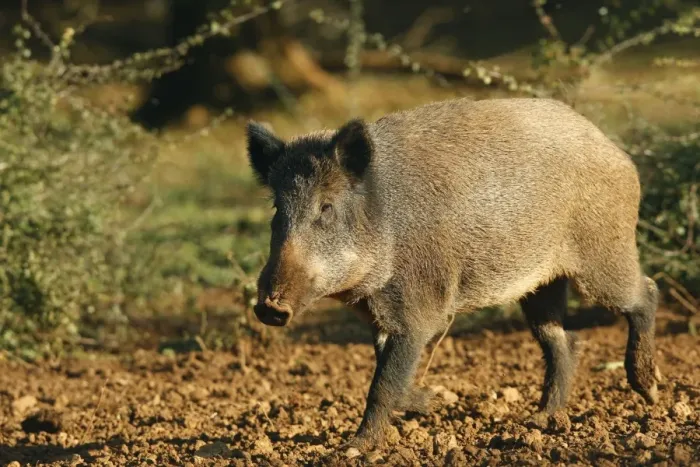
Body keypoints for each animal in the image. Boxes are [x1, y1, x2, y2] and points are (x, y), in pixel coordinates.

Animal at [245, 97, 660, 452]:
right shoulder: (380, 315)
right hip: (542, 285)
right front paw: (428, 403)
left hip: (603, 256)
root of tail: (616, 151)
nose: (268, 307)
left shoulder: (419, 308)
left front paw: (355, 448)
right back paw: (540, 421)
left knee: (645, 294)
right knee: (563, 339)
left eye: (326, 207)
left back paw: (650, 390)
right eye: (277, 209)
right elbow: (388, 371)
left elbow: (384, 383)